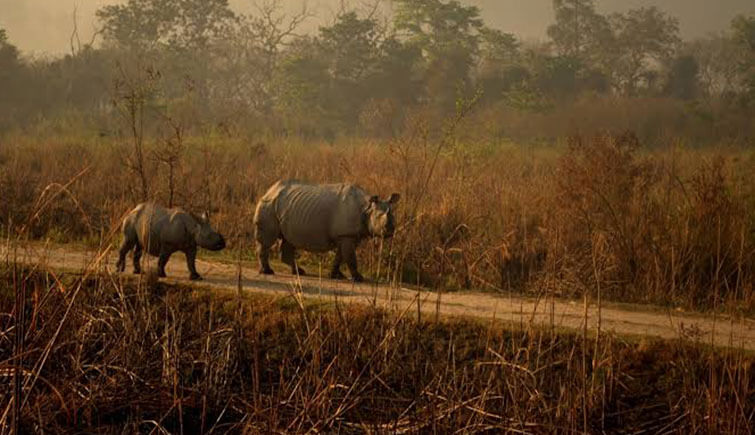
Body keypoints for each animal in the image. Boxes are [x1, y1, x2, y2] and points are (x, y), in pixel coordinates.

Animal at [254, 180, 402, 282]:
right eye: (379, 217)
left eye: (393, 216)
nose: (390, 231)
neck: (367, 207)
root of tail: (269, 190)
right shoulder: (346, 235)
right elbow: (350, 258)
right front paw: (358, 278)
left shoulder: (349, 235)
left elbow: (340, 256)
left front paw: (335, 275)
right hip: (268, 205)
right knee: (267, 240)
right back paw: (267, 271)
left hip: (283, 206)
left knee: (288, 240)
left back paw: (299, 272)